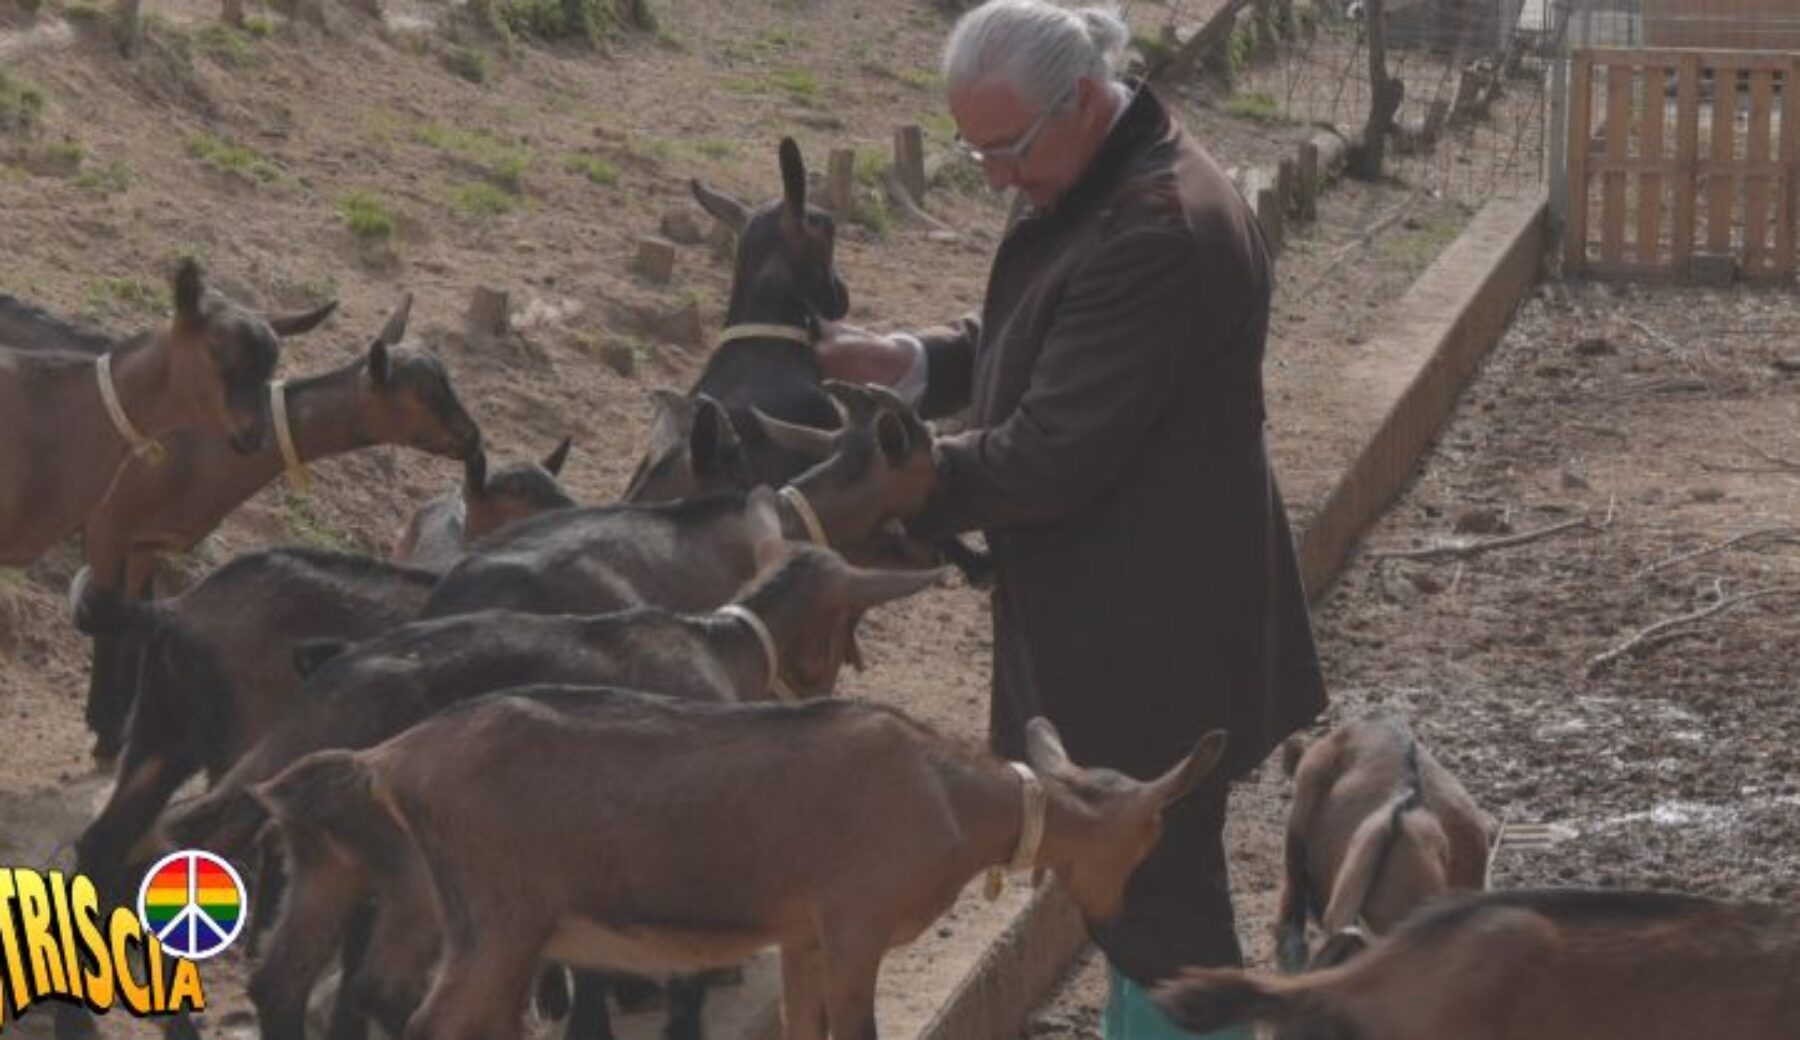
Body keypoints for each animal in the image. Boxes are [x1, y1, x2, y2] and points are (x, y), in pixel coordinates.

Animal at [225, 543, 943, 1036]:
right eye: (845, 630)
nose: (823, 700)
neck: (718, 644)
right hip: (426, 883)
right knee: (392, 990)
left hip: (333, 865)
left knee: (287, 981)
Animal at [261, 687, 1231, 1036]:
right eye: (1152, 836)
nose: (1115, 921)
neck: (953, 799)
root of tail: (387, 760)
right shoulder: (854, 925)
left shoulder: (800, 933)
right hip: (495, 916)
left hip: (384, 891)